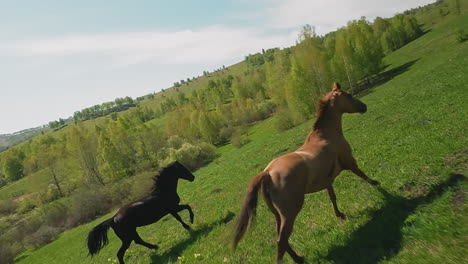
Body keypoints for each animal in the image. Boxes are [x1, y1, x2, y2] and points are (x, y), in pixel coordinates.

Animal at [234, 82, 380, 262]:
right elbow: (361, 174)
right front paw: (376, 184)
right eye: (349, 95)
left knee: (279, 237)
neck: (326, 136)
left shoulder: (327, 180)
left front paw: (340, 214)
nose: (363, 107)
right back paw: (295, 260)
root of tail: (267, 173)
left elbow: (332, 197)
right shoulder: (349, 162)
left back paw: (298, 257)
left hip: (277, 214)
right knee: (281, 239)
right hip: (290, 212)